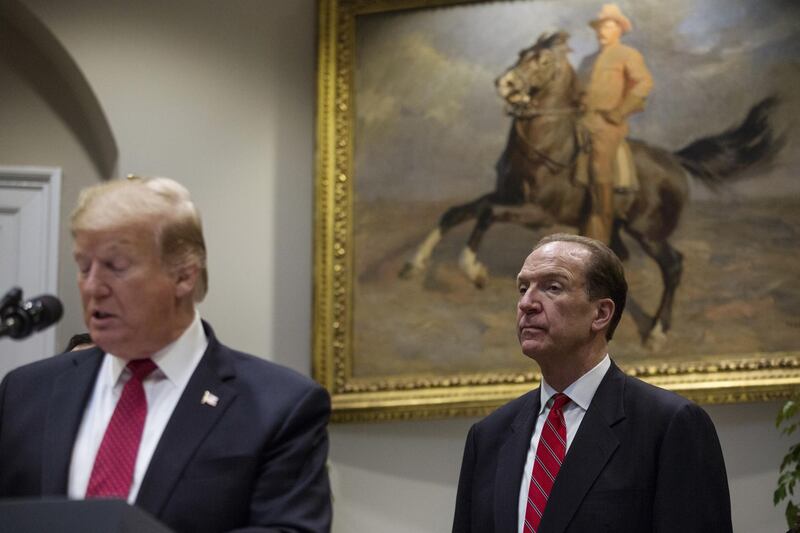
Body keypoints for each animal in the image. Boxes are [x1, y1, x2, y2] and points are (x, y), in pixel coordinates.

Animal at [400, 32, 780, 350]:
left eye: (543, 60)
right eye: (522, 54)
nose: (504, 83)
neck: (546, 149)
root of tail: (674, 158)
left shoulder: (538, 214)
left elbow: (486, 213)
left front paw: (473, 269)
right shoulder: (508, 196)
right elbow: (459, 212)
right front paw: (415, 263)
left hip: (649, 233)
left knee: (673, 266)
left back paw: (657, 332)